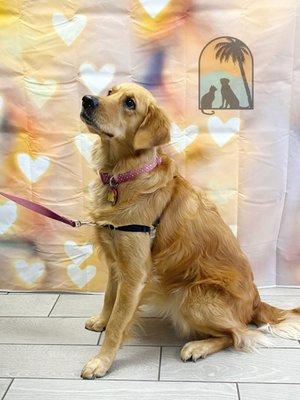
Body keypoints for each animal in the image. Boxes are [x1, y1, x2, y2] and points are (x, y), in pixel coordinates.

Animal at [79, 82, 300, 378]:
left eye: (130, 103)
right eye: (110, 92)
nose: (87, 100)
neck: (124, 175)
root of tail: (256, 301)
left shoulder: (135, 272)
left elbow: (118, 322)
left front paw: (101, 361)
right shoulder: (116, 259)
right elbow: (109, 297)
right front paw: (101, 320)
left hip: (190, 297)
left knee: (239, 334)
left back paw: (197, 347)